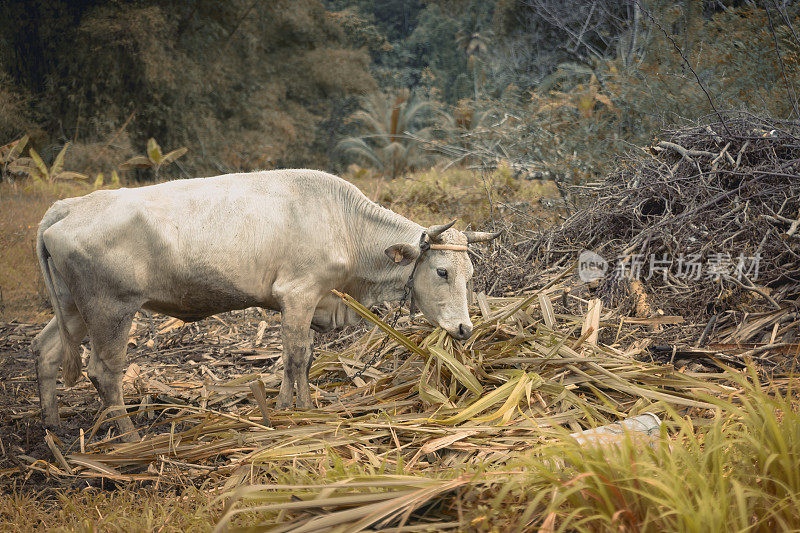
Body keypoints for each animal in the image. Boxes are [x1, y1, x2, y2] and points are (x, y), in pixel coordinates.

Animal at [32, 168, 500, 438]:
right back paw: (129, 437)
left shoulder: (309, 301)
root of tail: (68, 206)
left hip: (73, 308)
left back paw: (52, 427)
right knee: (104, 371)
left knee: (47, 350)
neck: (345, 223)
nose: (464, 329)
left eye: (471, 275)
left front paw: (286, 406)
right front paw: (299, 411)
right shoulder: (298, 293)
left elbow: (301, 358)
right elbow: (296, 356)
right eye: (442, 272)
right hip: (111, 309)